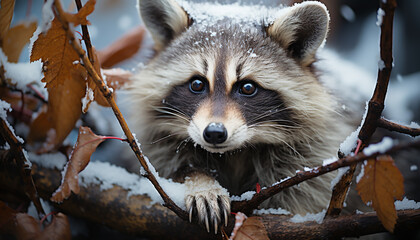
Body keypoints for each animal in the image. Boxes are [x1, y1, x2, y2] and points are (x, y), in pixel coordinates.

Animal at [129, 0, 348, 232]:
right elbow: (166, 169)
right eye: (197, 84)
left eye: (248, 87)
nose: (214, 133)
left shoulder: (309, 155)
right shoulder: (158, 144)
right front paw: (201, 183)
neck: (234, 153)